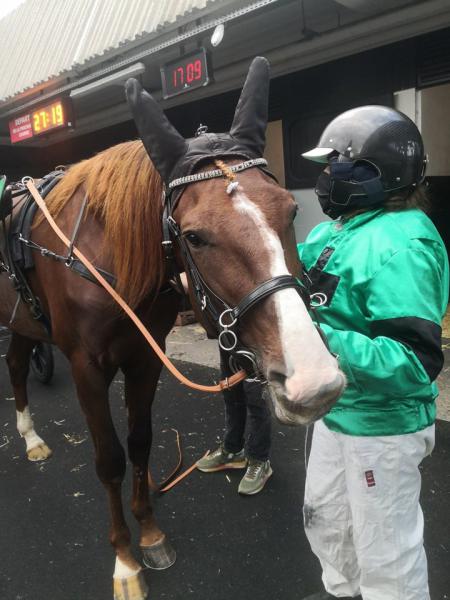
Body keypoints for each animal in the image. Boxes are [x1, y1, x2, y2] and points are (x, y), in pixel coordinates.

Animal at [0, 57, 345, 600]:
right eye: (195, 237)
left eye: (290, 210)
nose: (314, 382)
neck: (105, 258)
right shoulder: (85, 368)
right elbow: (109, 459)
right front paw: (124, 559)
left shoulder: (145, 359)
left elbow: (140, 442)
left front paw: (150, 534)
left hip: (22, 321)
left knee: (16, 363)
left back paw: (31, 437)